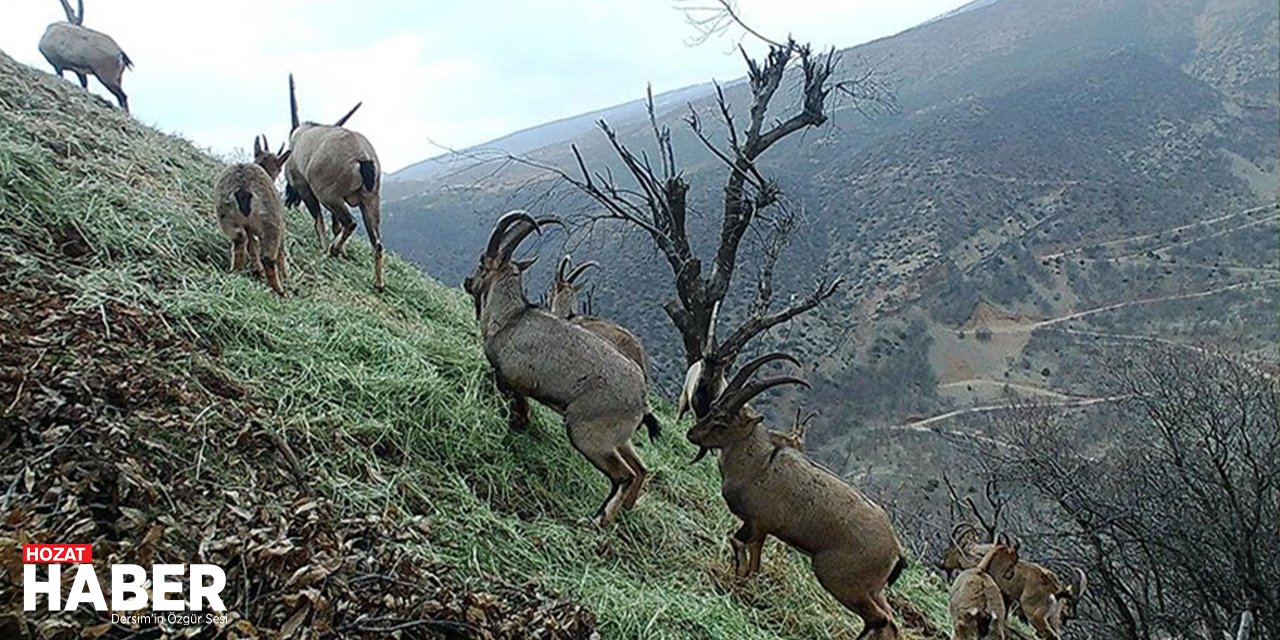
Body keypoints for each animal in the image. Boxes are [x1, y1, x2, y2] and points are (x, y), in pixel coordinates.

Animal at [212, 136, 293, 295]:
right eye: (279, 168)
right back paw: (280, 292)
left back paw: (236, 271)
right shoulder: (280, 226)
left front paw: (257, 269)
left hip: (226, 215)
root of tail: (243, 189)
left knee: (239, 238)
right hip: (271, 223)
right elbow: (280, 252)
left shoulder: (248, 227)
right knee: (268, 257)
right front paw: (286, 279)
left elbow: (252, 246)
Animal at [288, 72, 386, 290]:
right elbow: (335, 226)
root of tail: (363, 158)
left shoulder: (307, 189)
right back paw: (378, 284)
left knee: (350, 223)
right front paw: (342, 252)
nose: (289, 200)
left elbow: (319, 221)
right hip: (370, 202)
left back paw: (332, 249)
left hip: (329, 196)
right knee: (376, 243)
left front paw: (327, 247)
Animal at [465, 212, 655, 527]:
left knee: (624, 475)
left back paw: (597, 521)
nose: (468, 281)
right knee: (640, 468)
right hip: (620, 439)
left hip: (589, 435)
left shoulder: (513, 378)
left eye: (482, 263)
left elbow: (517, 404)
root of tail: (641, 399)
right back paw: (624, 512)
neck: (510, 320)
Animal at [691, 353, 911, 637]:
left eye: (722, 422)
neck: (759, 464)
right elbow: (754, 561)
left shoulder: (758, 522)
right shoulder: (761, 529)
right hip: (872, 588)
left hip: (839, 579)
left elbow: (738, 543)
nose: (692, 434)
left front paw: (735, 586)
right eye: (713, 407)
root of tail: (896, 552)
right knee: (890, 621)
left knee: (879, 619)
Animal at [942, 522, 1090, 637]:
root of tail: (1057, 589)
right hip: (1053, 618)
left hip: (1035, 615)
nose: (942, 564)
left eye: (948, 551)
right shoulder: (1007, 598)